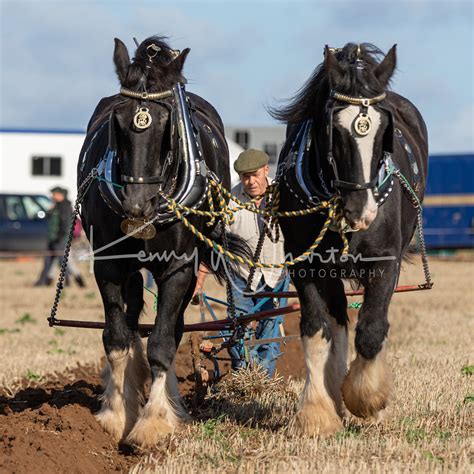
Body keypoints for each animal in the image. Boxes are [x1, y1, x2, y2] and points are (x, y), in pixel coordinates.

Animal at [270, 42, 430, 436]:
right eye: (333, 129)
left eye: (384, 129)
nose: (362, 211)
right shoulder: (307, 266)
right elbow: (316, 331)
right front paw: (316, 413)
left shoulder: (384, 262)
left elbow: (372, 329)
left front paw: (367, 400)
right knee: (339, 321)